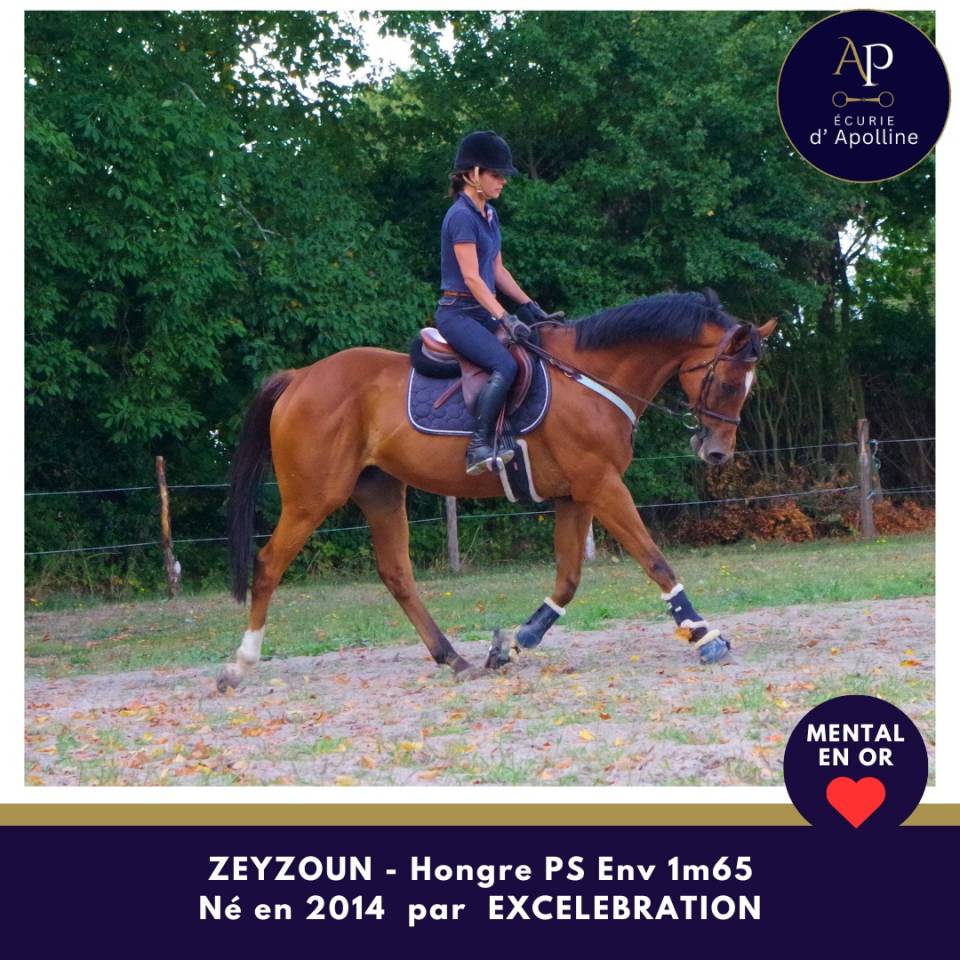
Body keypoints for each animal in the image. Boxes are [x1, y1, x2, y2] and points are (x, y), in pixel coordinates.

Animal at [220, 290, 776, 691]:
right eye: (730, 384)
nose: (717, 453)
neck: (592, 379)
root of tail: (300, 378)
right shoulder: (602, 486)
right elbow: (656, 561)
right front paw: (705, 637)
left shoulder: (575, 495)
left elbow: (568, 579)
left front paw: (514, 643)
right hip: (312, 498)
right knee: (268, 565)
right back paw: (240, 664)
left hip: (380, 492)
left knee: (397, 575)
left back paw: (455, 659)